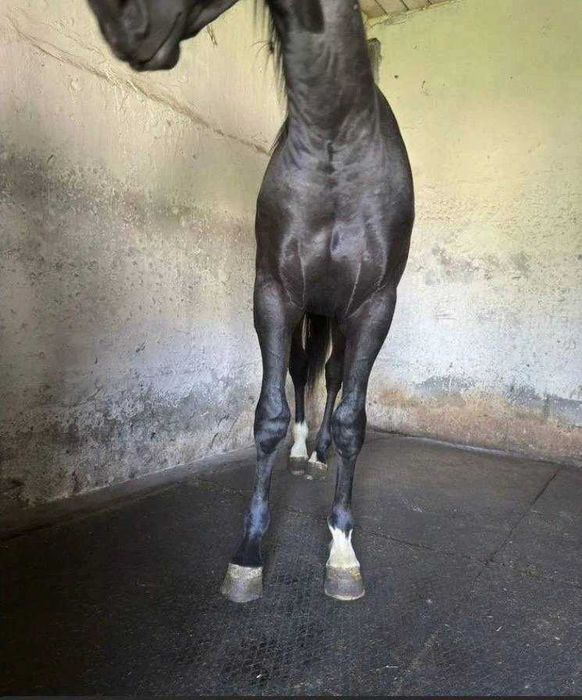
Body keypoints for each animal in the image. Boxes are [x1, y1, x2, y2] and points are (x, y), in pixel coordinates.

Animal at [85, 0, 414, 603]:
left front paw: (342, 552)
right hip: (314, 312)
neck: (335, 144)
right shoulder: (275, 295)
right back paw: (304, 453)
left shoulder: (375, 306)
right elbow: (270, 415)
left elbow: (352, 421)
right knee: (306, 371)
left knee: (333, 377)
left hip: (339, 316)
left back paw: (320, 452)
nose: (122, 20)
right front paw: (248, 555)